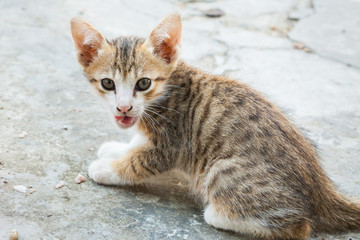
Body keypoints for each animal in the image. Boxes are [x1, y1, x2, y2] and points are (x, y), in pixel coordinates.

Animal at [70, 14, 360, 239]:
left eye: (143, 83)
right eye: (108, 83)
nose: (123, 107)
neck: (168, 89)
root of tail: (320, 188)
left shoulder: (170, 143)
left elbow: (138, 163)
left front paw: (106, 169)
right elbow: (135, 145)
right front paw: (116, 149)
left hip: (222, 171)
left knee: (300, 227)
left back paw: (218, 214)